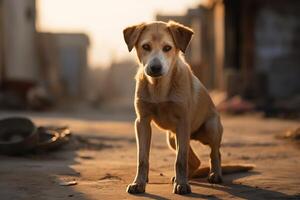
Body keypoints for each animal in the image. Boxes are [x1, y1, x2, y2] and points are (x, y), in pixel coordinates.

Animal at [122, 21, 253, 195]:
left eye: (167, 48)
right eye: (146, 46)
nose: (155, 68)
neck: (159, 88)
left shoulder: (183, 122)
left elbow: (180, 160)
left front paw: (182, 184)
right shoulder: (142, 122)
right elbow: (142, 158)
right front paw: (139, 183)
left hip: (210, 127)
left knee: (215, 152)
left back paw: (214, 174)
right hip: (172, 138)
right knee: (196, 161)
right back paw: (184, 177)